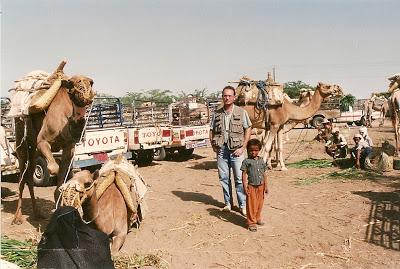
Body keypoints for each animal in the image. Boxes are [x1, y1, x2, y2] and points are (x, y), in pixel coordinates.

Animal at [12, 61, 95, 224]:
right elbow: (54, 168)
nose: (88, 95)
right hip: (21, 141)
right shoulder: (42, 141)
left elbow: (62, 177)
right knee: (22, 177)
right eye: (74, 82)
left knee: (29, 174)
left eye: (90, 82)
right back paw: (17, 217)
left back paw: (37, 213)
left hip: (32, 148)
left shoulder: (69, 146)